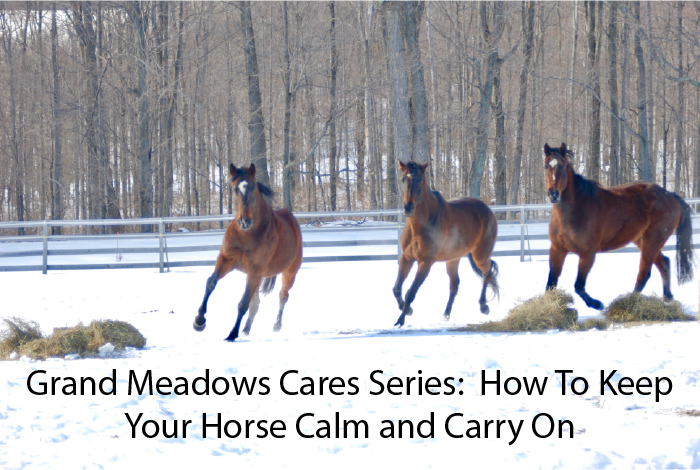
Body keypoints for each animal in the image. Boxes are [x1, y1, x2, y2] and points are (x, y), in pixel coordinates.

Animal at [193, 163, 303, 341]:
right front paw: (199, 321)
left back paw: (276, 326)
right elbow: (210, 283)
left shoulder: (255, 271)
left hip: (289, 272)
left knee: (282, 296)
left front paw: (231, 334)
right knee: (256, 303)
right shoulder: (226, 260)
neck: (246, 235)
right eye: (234, 188)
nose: (245, 221)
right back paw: (246, 329)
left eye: (252, 186)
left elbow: (243, 302)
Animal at [393, 161, 500, 327]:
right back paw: (446, 314)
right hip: (453, 259)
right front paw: (407, 309)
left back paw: (483, 306)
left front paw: (402, 318)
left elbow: (411, 292)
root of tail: (488, 210)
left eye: (420, 180)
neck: (420, 225)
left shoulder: (425, 262)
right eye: (403, 179)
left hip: (480, 255)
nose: (408, 207)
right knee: (455, 285)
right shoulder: (407, 258)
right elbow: (397, 288)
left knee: (487, 273)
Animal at [544, 142, 694, 309]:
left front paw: (596, 304)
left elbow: (579, 285)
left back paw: (630, 302)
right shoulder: (558, 249)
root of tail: (670, 195)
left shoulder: (587, 253)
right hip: (643, 241)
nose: (554, 194)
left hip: (652, 241)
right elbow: (551, 284)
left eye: (563, 165)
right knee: (664, 264)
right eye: (546, 166)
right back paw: (667, 298)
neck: (577, 208)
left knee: (644, 273)